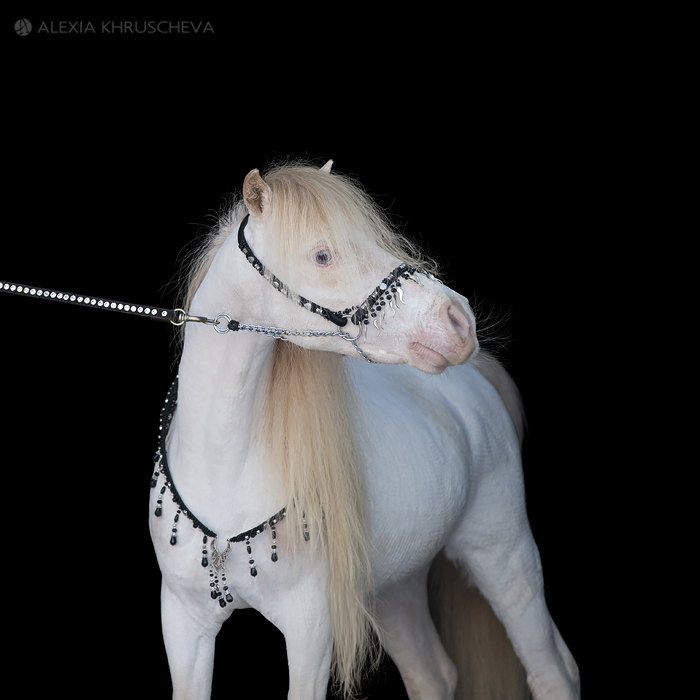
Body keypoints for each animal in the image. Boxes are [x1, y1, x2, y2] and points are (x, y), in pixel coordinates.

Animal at [148, 160, 580, 699]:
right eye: (322, 255)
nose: (458, 320)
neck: (225, 468)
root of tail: (475, 381)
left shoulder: (311, 631)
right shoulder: (184, 625)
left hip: (503, 554)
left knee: (551, 670)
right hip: (395, 587)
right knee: (433, 673)